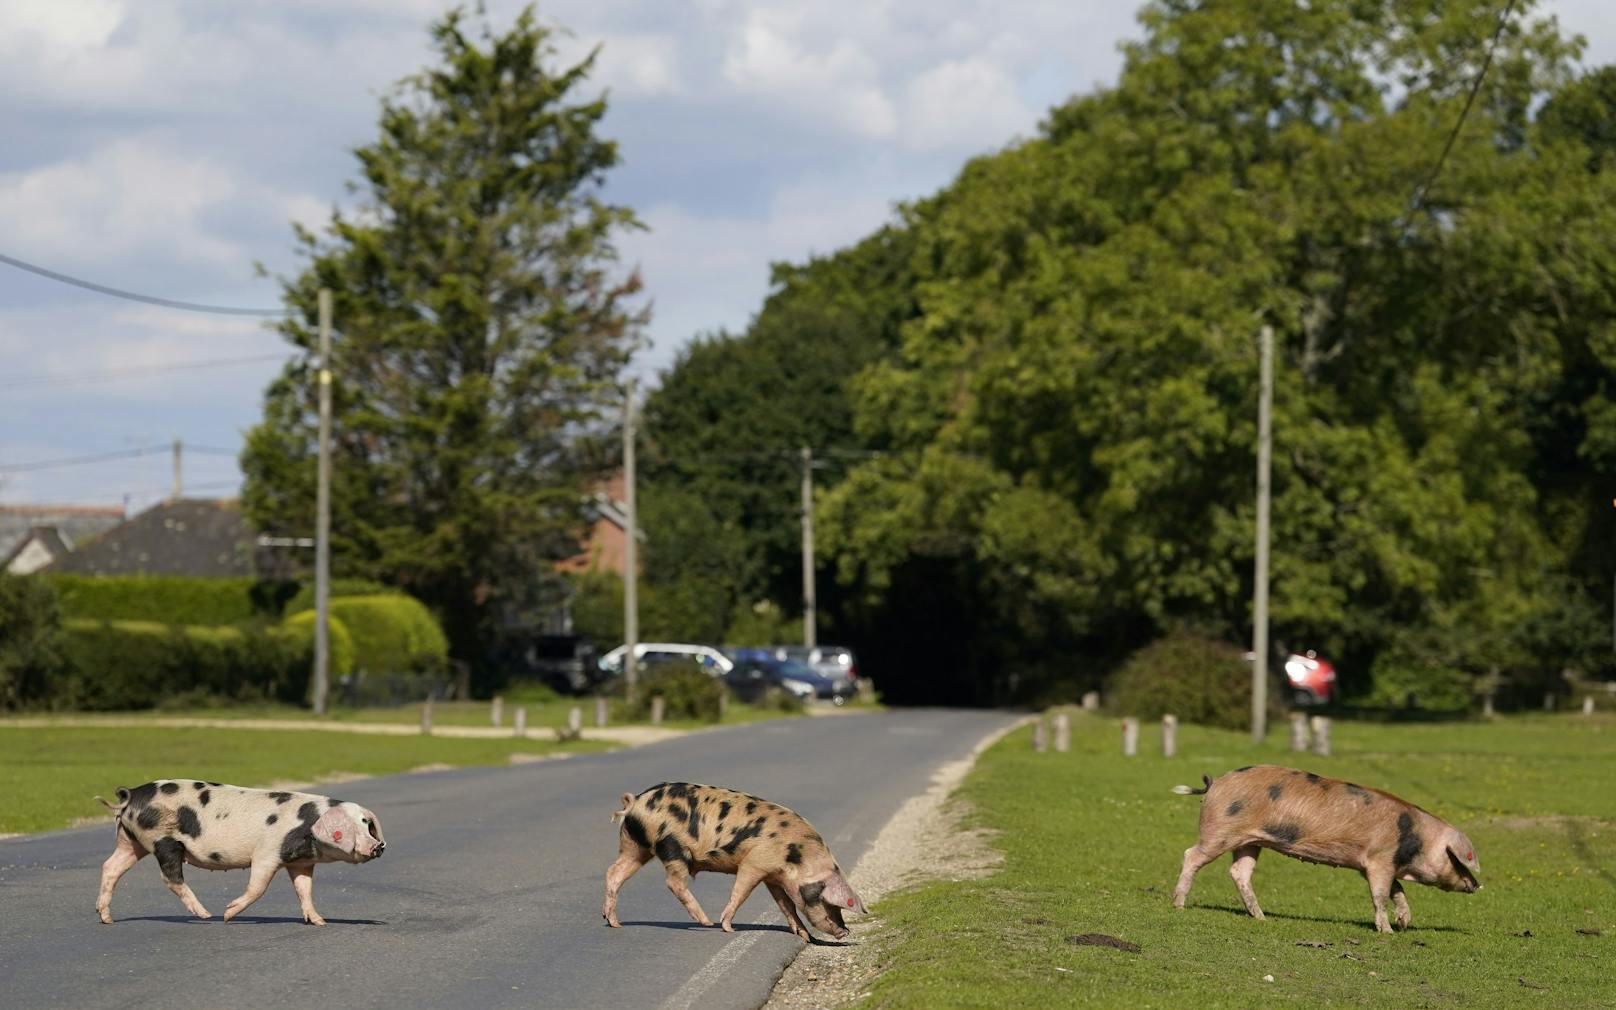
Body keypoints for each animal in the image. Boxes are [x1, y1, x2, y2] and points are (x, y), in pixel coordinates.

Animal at [96, 778, 384, 924]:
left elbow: (304, 889)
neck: (307, 827)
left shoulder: (300, 862)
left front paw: (319, 921)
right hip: (163, 839)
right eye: (353, 827)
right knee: (169, 877)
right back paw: (206, 915)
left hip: (130, 841)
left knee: (110, 867)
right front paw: (227, 914)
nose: (378, 845)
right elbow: (258, 888)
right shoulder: (267, 853)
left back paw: (106, 918)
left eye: (367, 824)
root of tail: (131, 796)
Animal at [601, 778, 866, 937]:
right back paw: (707, 923)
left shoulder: (773, 877)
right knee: (673, 882)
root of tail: (635, 802)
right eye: (824, 899)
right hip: (672, 846)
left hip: (635, 845)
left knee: (614, 872)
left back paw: (613, 922)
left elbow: (786, 905)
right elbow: (741, 891)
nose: (845, 931)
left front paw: (805, 936)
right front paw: (728, 928)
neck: (796, 856)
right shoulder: (755, 863)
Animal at [1169, 762, 1480, 930]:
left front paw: (1404, 924)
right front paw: (1388, 932)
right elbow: (1380, 896)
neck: (1415, 838)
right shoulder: (1379, 859)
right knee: (1191, 855)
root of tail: (1215, 783)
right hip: (1220, 831)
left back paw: (1262, 918)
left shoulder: (1376, 864)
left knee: (1239, 872)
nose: (1477, 885)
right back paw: (1179, 906)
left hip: (1250, 841)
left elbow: (1397, 890)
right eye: (1458, 858)